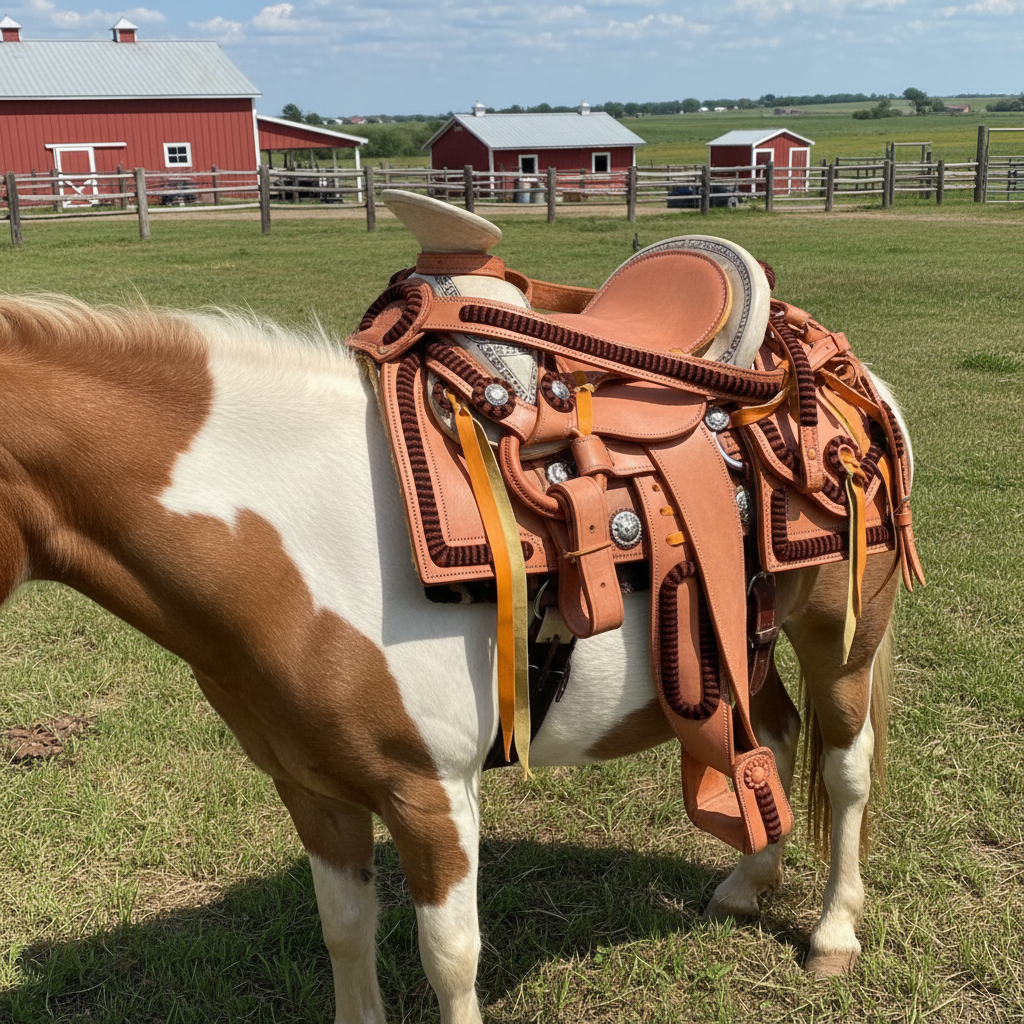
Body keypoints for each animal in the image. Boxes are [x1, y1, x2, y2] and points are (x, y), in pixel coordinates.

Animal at [0, 293, 909, 1023]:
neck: (303, 536)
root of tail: (844, 369)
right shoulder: (312, 790)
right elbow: (345, 930)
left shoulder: (430, 794)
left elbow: (448, 955)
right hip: (744, 647)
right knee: (776, 736)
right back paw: (749, 885)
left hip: (839, 639)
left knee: (845, 768)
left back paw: (833, 933)